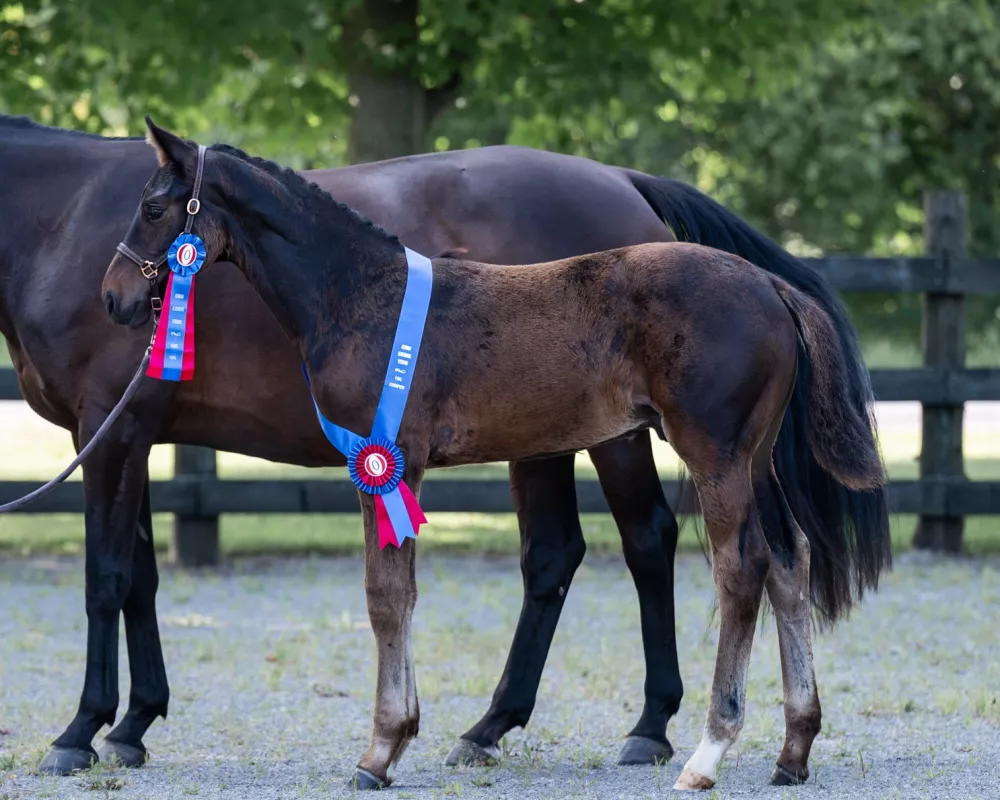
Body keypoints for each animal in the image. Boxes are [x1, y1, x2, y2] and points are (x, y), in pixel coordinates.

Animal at [99, 122, 884, 792]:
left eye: (154, 207)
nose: (114, 297)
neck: (362, 296)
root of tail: (771, 287)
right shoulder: (390, 469)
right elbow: (404, 591)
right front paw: (403, 736)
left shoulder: (390, 458)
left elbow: (384, 597)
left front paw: (379, 751)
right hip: (755, 460)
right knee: (788, 562)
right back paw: (793, 750)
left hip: (712, 455)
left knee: (740, 568)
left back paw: (705, 753)